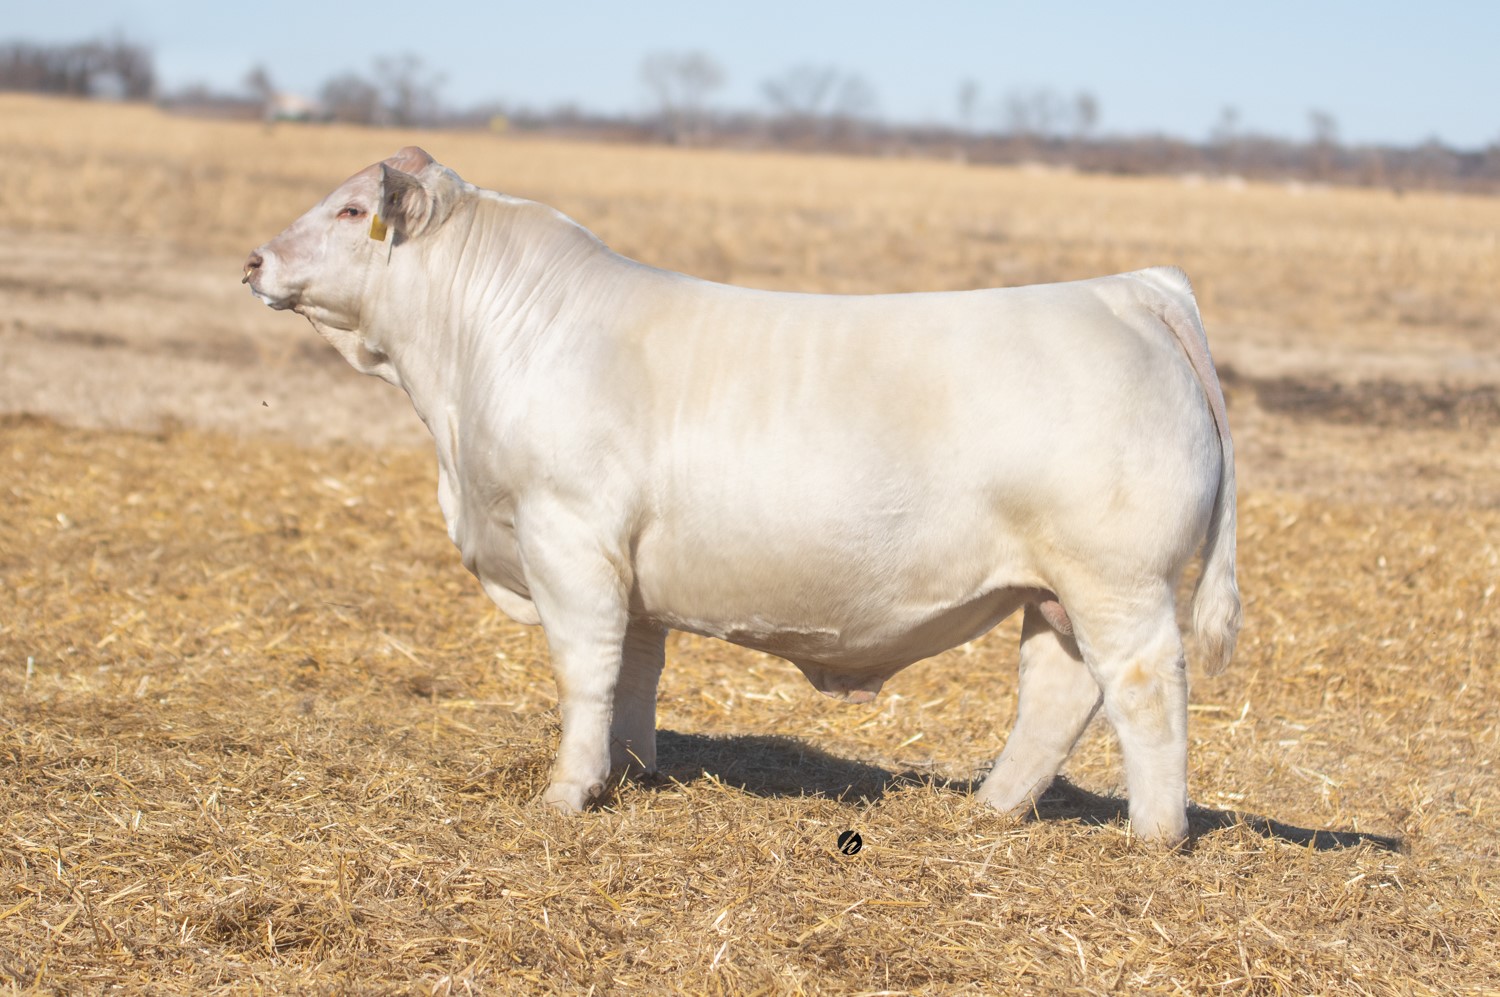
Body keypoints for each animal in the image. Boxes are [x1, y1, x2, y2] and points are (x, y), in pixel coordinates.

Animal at [244, 146, 1241, 845]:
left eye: (351, 209)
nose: (253, 260)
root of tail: (1130, 289)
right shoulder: (630, 574)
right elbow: (635, 674)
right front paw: (628, 774)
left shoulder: (568, 537)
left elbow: (585, 670)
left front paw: (566, 793)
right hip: (1054, 590)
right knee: (1057, 693)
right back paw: (990, 809)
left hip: (1117, 581)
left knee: (1144, 684)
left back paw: (1154, 835)